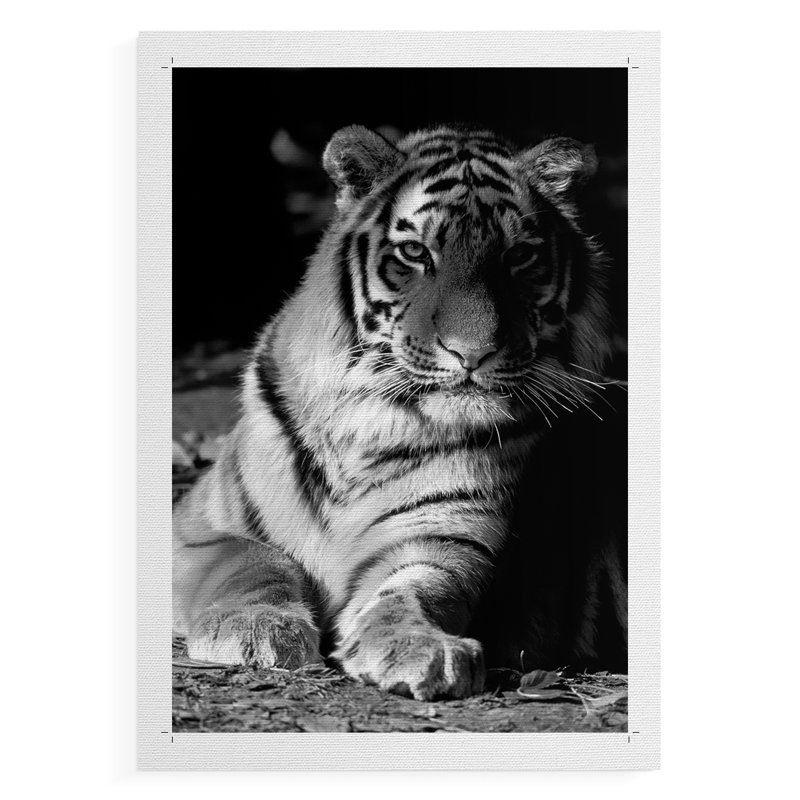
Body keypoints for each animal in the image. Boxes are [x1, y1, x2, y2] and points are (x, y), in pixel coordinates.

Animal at [172, 124, 627, 701]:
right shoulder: (195, 526)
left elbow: (411, 592)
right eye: (415, 252)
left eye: (519, 256)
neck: (369, 423)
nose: (473, 352)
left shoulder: (441, 539)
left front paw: (420, 648)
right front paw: (257, 629)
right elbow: (253, 560)